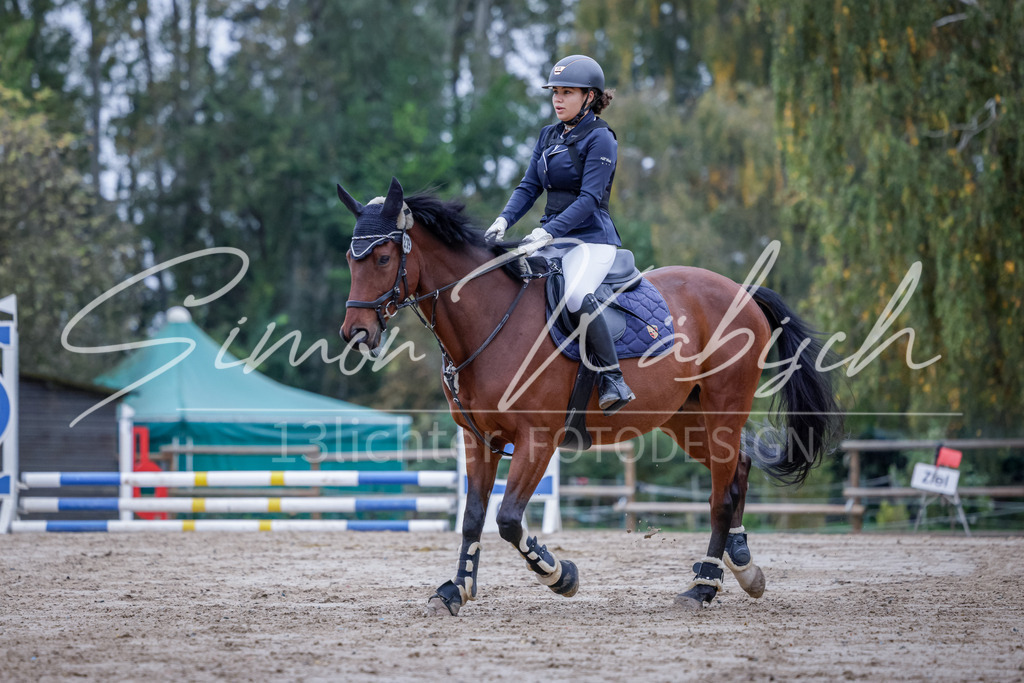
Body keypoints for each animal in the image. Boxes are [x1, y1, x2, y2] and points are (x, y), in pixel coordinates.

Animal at [337, 177, 842, 615]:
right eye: (350, 257)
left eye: (382, 258)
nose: (356, 334)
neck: (490, 320)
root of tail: (743, 291)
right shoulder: (479, 439)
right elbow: (473, 517)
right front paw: (454, 591)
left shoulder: (538, 439)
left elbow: (508, 519)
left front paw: (560, 575)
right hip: (685, 420)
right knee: (737, 470)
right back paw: (740, 568)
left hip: (723, 409)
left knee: (721, 494)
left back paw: (701, 588)